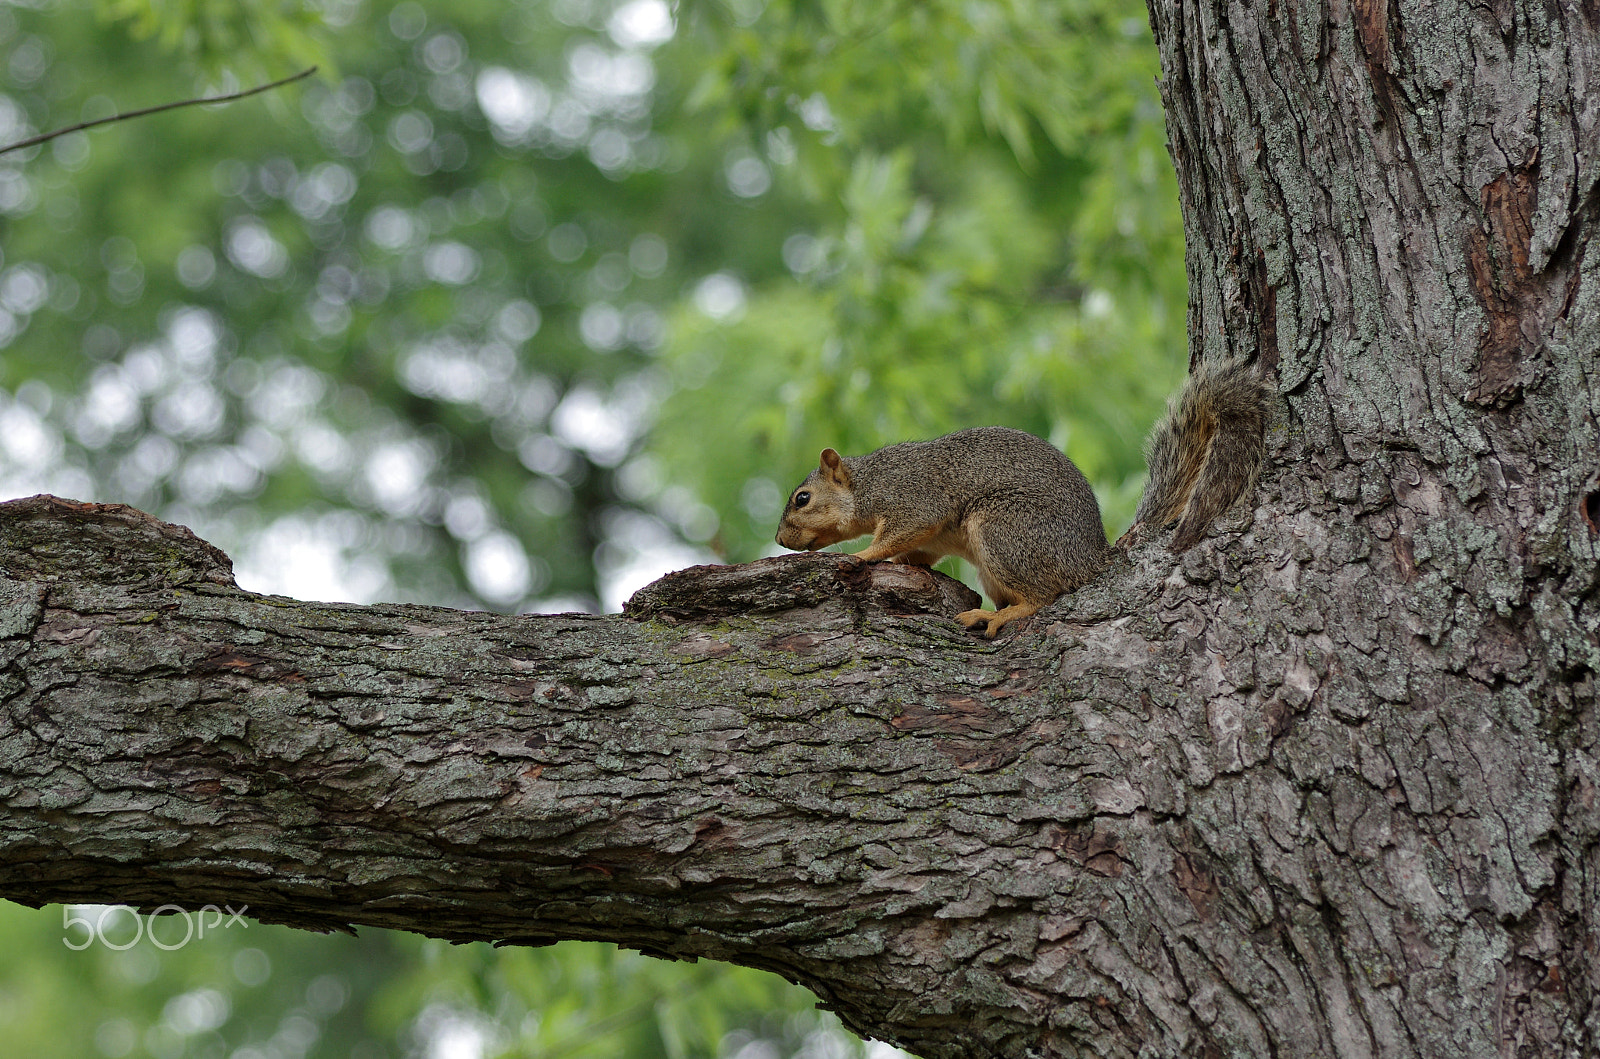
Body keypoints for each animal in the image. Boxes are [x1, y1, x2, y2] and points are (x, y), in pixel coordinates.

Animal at [777, 356, 1273, 639]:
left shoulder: (910, 499)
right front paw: (900, 564)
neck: (866, 483)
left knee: (1041, 595)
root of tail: (1091, 558)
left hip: (1004, 529)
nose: (781, 539)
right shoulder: (929, 539)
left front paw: (862, 555)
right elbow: (918, 554)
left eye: (802, 498)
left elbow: (899, 533)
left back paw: (998, 617)